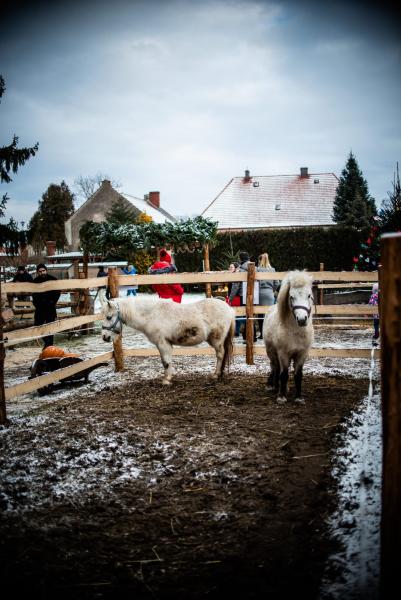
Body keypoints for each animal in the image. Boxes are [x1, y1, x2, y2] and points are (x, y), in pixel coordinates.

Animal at [100, 292, 236, 386]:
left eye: (108, 317)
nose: (105, 337)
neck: (152, 315)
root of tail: (229, 308)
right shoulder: (166, 344)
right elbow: (167, 361)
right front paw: (168, 378)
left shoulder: (162, 343)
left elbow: (166, 362)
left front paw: (166, 380)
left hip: (217, 341)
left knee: (220, 354)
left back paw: (216, 374)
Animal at [262, 270, 316, 404]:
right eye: (291, 297)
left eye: (309, 295)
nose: (302, 319)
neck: (295, 332)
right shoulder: (283, 353)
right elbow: (284, 374)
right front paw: (281, 397)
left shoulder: (302, 354)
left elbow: (298, 375)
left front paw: (299, 397)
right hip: (271, 351)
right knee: (275, 367)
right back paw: (274, 386)